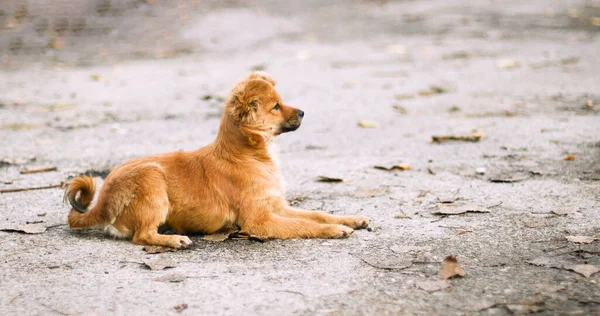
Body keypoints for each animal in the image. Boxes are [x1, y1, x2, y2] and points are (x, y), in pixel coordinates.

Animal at [64, 73, 366, 248]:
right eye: (276, 107)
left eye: (282, 101)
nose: (303, 112)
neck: (251, 155)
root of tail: (101, 203)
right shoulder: (259, 221)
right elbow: (304, 225)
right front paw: (334, 230)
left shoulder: (277, 206)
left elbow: (316, 214)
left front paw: (350, 219)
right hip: (151, 176)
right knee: (142, 236)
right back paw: (174, 239)